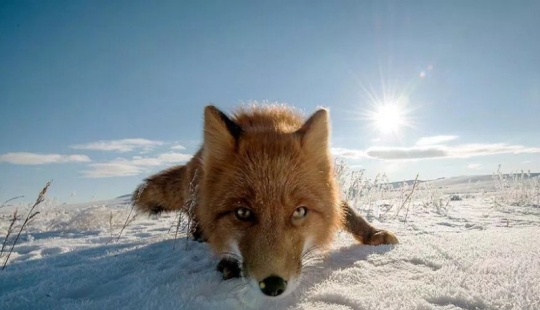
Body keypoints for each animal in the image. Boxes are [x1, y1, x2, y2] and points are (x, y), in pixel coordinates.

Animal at [133, 104, 398, 298]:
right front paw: (228, 260)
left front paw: (373, 234)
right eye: (242, 213)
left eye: (300, 212)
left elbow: (349, 214)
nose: (272, 286)